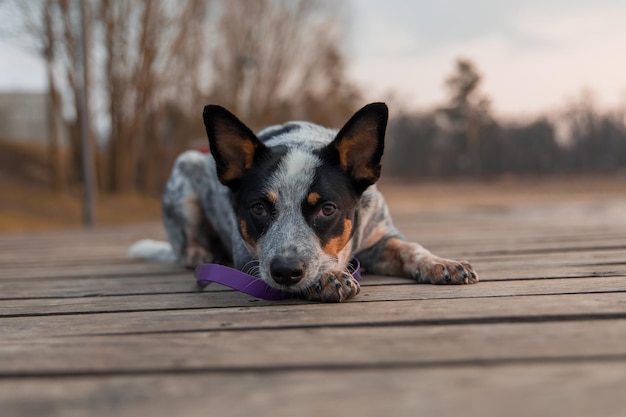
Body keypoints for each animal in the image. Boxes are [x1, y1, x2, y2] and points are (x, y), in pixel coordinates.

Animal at [129, 102, 476, 300]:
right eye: (258, 208)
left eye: (327, 209)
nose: (285, 271)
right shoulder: (247, 256)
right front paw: (326, 277)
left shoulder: (380, 237)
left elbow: (410, 248)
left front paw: (440, 263)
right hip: (185, 171)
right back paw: (196, 251)